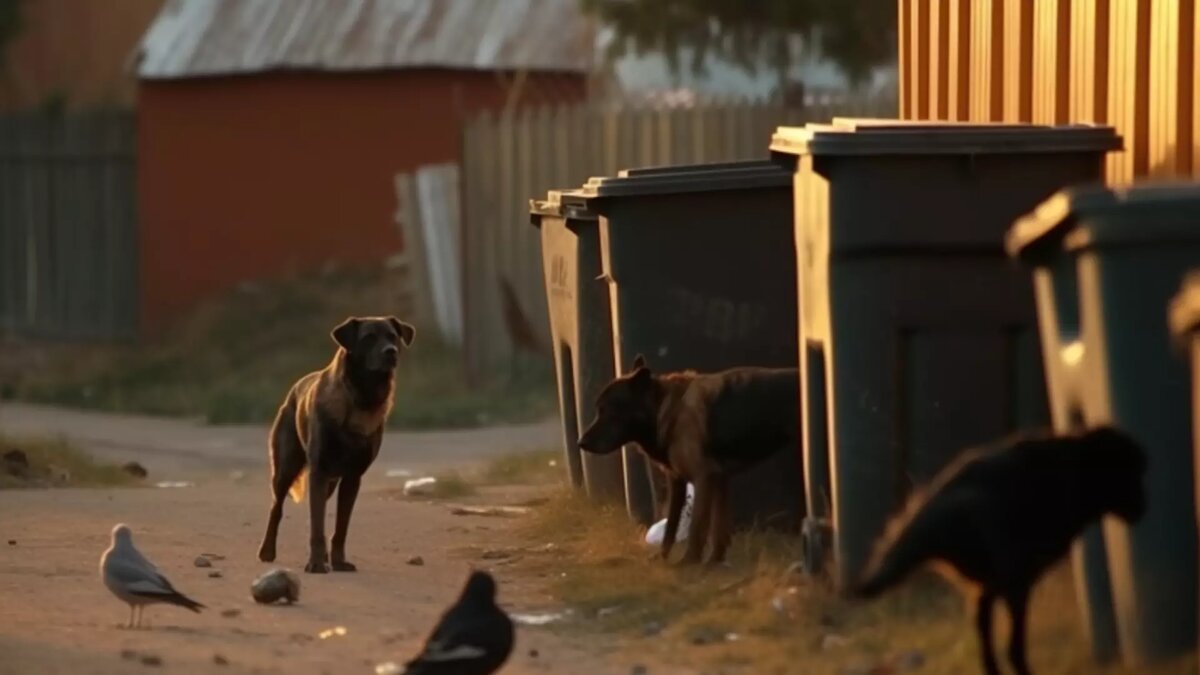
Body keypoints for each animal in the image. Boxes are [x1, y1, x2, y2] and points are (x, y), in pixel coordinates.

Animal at [255, 314, 415, 571]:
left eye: (393, 336)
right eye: (369, 338)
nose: (390, 352)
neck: (361, 397)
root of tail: (294, 389)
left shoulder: (352, 477)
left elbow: (340, 527)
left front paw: (338, 561)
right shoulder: (319, 472)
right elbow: (317, 525)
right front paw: (316, 564)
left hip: (330, 483)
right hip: (285, 469)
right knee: (276, 508)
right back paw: (267, 550)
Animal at [578, 355, 801, 564]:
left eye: (607, 411)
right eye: (599, 410)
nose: (580, 443)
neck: (665, 409)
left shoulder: (703, 478)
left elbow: (697, 529)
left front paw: (688, 563)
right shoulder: (698, 481)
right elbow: (682, 528)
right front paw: (709, 562)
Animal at [849, 425, 1147, 672]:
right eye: (1130, 473)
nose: (1142, 508)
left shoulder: (990, 584)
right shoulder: (1015, 579)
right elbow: (1012, 647)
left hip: (991, 583)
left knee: (987, 639)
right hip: (1011, 578)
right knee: (1012, 649)